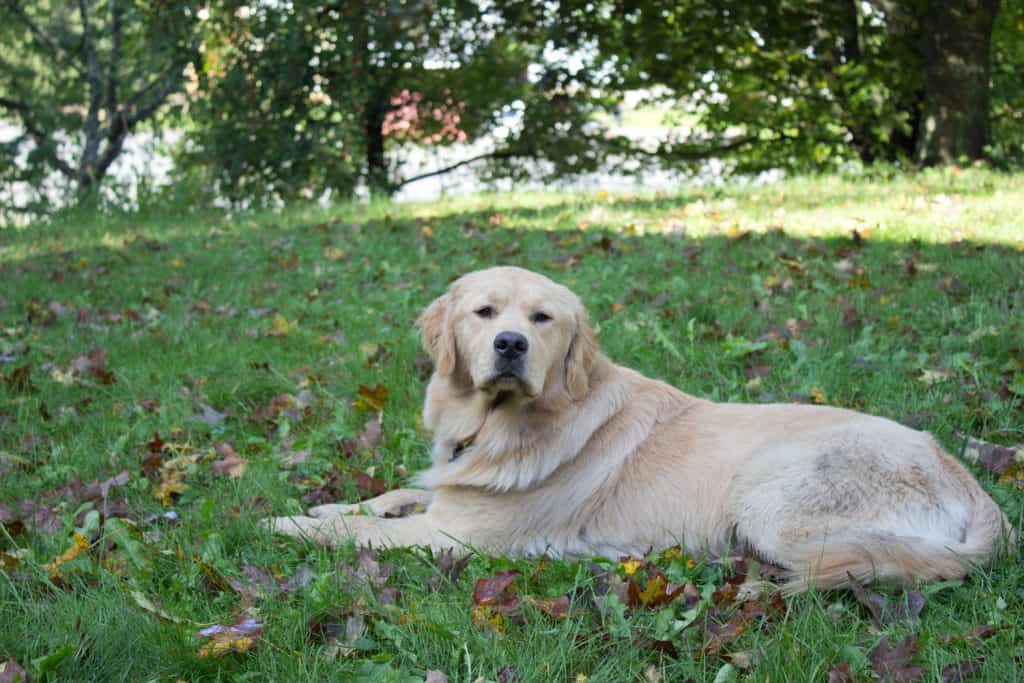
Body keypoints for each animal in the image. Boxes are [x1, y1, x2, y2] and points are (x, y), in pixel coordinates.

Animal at [268, 264, 1011, 589]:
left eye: (542, 320)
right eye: (484, 313)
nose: (510, 344)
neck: (499, 424)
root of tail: (969, 481)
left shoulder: (455, 536)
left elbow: (357, 531)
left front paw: (286, 522)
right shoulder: (447, 487)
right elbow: (391, 493)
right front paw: (329, 502)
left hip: (769, 498)